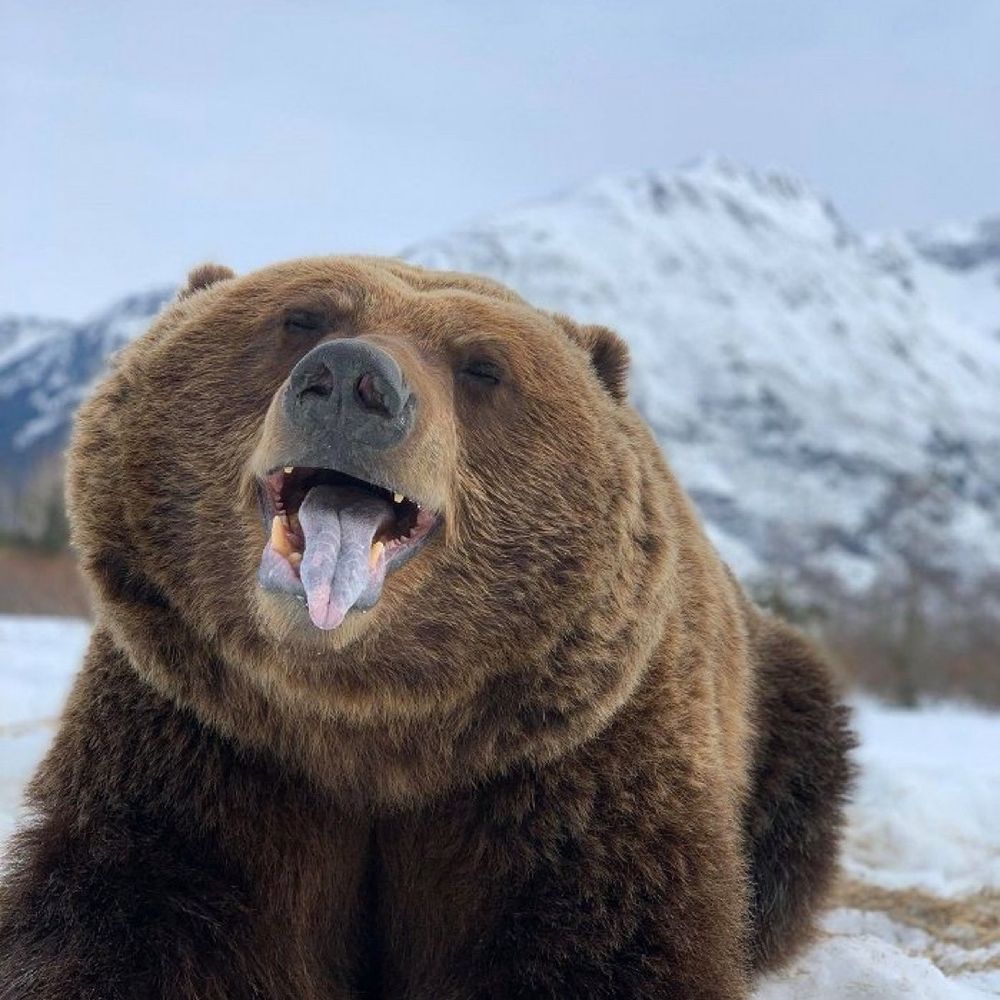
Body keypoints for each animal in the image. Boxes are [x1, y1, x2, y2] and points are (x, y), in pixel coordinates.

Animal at [0, 256, 854, 999]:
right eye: (302, 317)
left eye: (482, 368)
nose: (352, 384)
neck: (368, 727)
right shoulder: (210, 737)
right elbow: (137, 912)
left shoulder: (566, 767)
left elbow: (603, 945)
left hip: (778, 706)